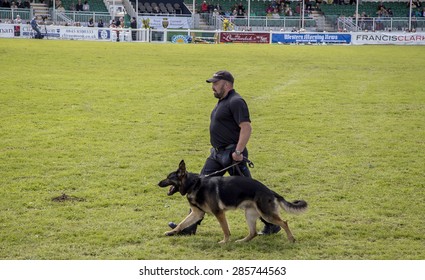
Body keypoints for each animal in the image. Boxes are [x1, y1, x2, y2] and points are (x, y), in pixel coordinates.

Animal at [157, 161, 306, 244]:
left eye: (168, 177)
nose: (158, 183)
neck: (194, 184)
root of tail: (270, 190)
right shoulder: (197, 213)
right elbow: (182, 223)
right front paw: (172, 232)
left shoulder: (219, 213)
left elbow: (225, 229)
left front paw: (224, 241)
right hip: (249, 214)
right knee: (253, 233)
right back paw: (241, 241)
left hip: (266, 214)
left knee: (284, 222)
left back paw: (291, 239)